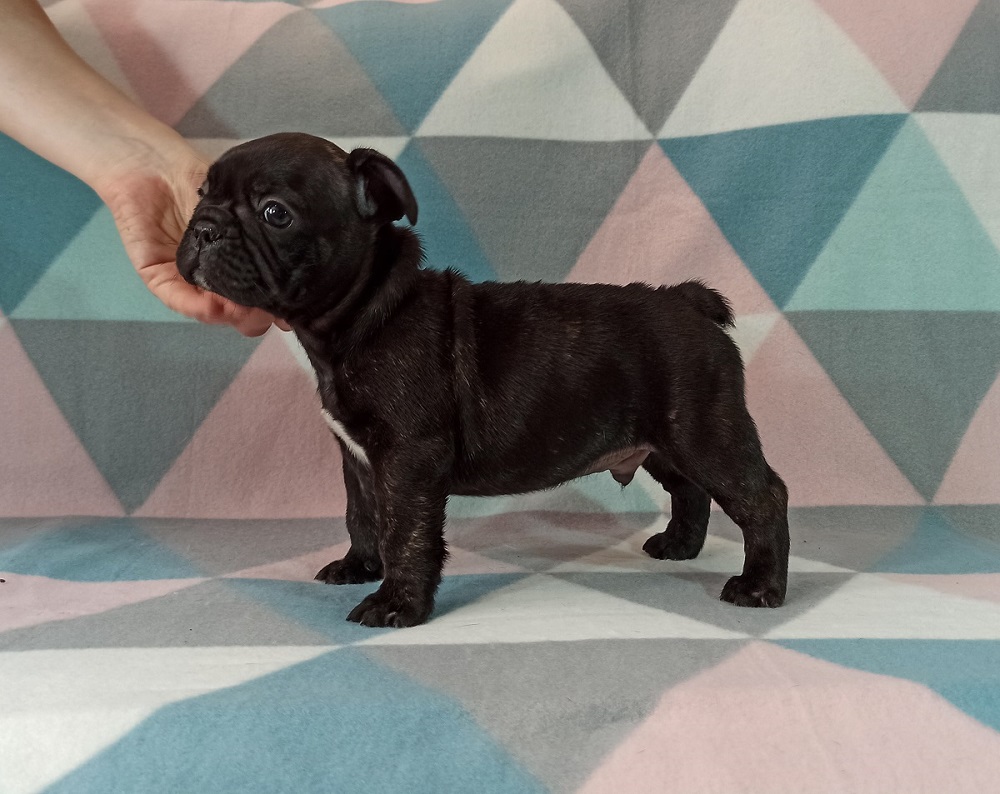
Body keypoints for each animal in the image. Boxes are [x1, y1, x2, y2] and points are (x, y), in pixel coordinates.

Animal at [176, 132, 790, 628]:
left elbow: (406, 530)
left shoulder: (408, 457)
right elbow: (362, 514)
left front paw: (397, 604)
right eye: (202, 193)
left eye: (275, 212)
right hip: (662, 439)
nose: (203, 227)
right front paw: (359, 566)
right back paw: (679, 546)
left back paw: (760, 587)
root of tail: (689, 301)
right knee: (689, 488)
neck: (363, 315)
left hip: (703, 431)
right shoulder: (358, 458)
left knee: (761, 496)